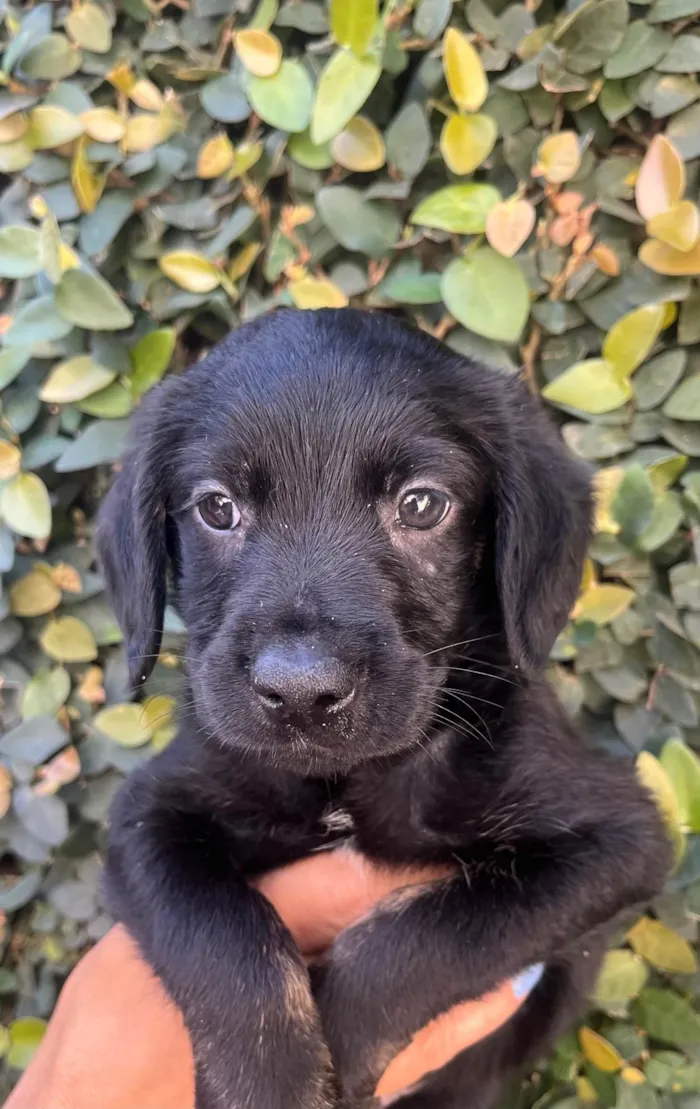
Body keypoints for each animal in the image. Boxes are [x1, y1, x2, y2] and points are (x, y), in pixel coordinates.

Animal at [98, 308, 674, 1109]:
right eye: (216, 507)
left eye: (422, 504)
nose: (300, 691)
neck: (346, 783)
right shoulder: (146, 817)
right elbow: (222, 937)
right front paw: (270, 1081)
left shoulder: (619, 840)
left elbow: (427, 937)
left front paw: (343, 1039)